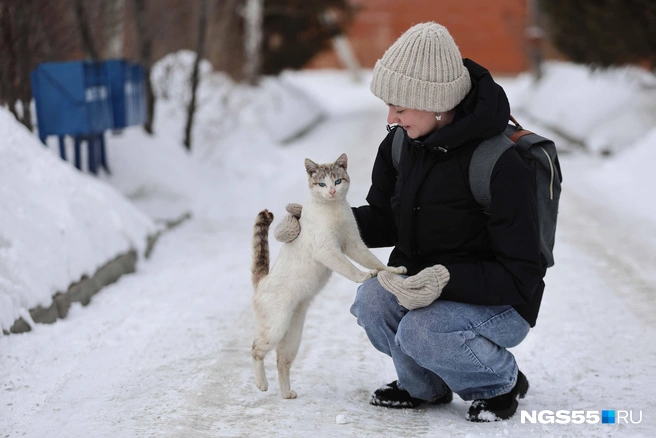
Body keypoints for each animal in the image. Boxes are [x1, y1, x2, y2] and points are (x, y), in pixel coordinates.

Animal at [251, 152, 404, 398]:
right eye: (322, 184)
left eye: (337, 181)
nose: (332, 191)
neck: (334, 209)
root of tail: (262, 279)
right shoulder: (329, 250)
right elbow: (351, 268)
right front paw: (365, 276)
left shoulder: (353, 243)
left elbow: (374, 261)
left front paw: (393, 271)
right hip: (275, 327)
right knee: (255, 349)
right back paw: (262, 384)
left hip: (293, 335)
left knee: (281, 362)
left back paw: (286, 394)